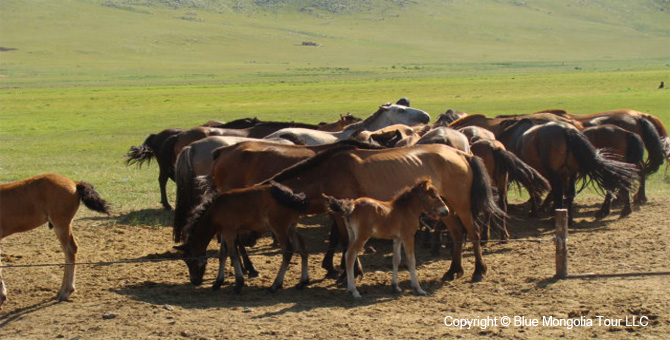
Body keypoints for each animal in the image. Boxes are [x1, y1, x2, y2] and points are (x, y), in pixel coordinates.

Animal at [175, 182, 312, 294]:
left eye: (190, 261)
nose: (194, 281)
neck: (214, 210)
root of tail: (292, 196)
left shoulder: (229, 231)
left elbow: (233, 254)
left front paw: (238, 284)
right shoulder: (225, 232)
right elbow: (222, 254)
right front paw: (218, 282)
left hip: (279, 229)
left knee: (287, 252)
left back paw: (275, 285)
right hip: (291, 228)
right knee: (302, 248)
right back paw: (302, 282)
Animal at [266, 143, 506, 282]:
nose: (276, 237)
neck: (327, 172)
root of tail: (460, 153)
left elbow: (347, 242)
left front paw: (350, 273)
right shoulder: (339, 215)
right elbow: (345, 240)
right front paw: (349, 270)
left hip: (460, 205)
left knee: (473, 233)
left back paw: (478, 270)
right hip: (444, 207)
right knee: (457, 233)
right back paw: (453, 270)